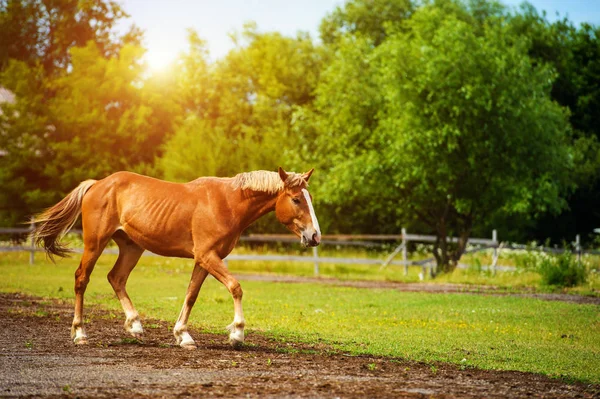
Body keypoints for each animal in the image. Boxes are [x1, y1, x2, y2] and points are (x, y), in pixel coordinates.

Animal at [30, 169, 322, 350]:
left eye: (309, 198)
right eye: (296, 199)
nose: (315, 236)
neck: (227, 203)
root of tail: (97, 184)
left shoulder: (204, 260)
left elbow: (191, 295)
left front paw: (183, 335)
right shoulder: (207, 256)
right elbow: (235, 287)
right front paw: (237, 334)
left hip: (132, 247)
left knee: (116, 278)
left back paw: (135, 326)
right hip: (95, 243)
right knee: (82, 278)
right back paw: (80, 333)